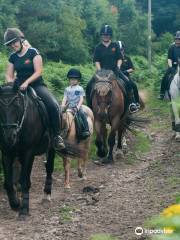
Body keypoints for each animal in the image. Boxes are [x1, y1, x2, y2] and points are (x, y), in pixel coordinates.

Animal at [0, 83, 80, 218]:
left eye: (17, 104)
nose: (9, 136)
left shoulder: (28, 153)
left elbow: (25, 181)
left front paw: (24, 209)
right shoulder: (6, 152)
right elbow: (8, 182)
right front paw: (15, 203)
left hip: (51, 147)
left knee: (49, 168)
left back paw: (47, 195)